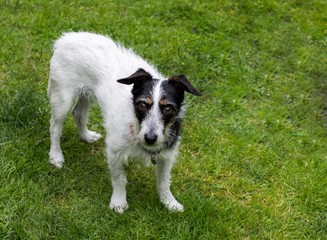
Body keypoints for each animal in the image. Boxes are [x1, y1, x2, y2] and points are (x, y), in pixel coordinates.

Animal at [48, 32, 202, 214]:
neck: (136, 123)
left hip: (86, 94)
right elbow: (119, 179)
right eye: (142, 104)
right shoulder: (114, 151)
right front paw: (118, 202)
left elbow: (164, 182)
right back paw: (56, 155)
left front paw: (169, 202)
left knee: (78, 113)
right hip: (62, 98)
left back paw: (86, 136)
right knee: (55, 127)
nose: (150, 138)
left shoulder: (167, 156)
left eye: (168, 108)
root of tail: (65, 38)